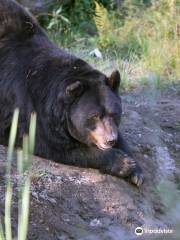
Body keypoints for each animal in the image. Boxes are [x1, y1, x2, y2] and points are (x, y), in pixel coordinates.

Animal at [0, 0, 143, 187]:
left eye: (114, 113)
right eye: (94, 116)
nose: (109, 140)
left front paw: (136, 170)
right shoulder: (23, 104)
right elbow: (51, 144)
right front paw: (123, 163)